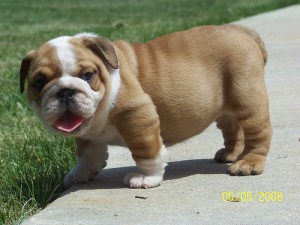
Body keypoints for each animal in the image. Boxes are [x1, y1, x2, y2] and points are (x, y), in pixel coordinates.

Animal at [19, 24, 272, 189]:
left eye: (88, 75)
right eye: (39, 83)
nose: (65, 91)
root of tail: (242, 30)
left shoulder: (137, 114)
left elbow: (146, 150)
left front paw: (146, 178)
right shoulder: (87, 133)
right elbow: (87, 154)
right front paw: (80, 173)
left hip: (248, 99)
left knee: (258, 133)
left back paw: (248, 163)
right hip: (225, 109)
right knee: (232, 127)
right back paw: (230, 154)